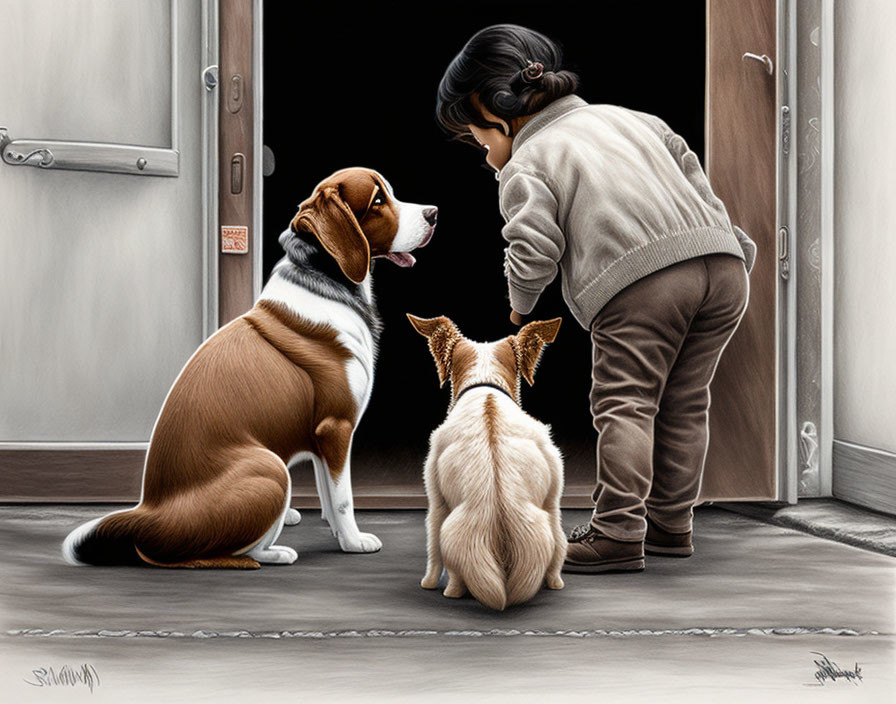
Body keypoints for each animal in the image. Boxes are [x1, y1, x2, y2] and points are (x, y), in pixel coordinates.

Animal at [408, 314, 564, 612]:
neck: (485, 385)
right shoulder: (552, 500)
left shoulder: (436, 502)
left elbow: (432, 551)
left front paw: (428, 584)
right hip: (546, 522)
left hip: (451, 531)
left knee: (454, 573)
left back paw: (452, 592)